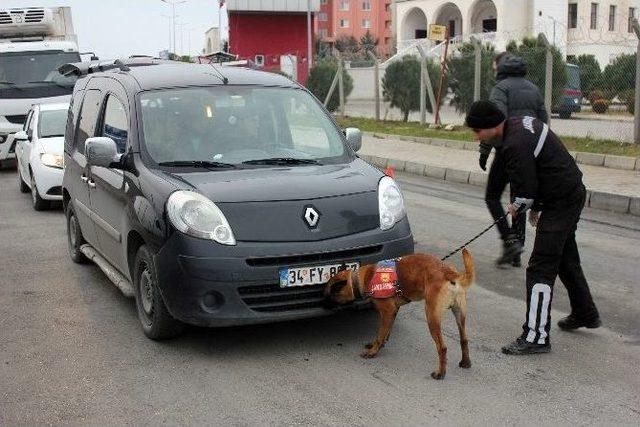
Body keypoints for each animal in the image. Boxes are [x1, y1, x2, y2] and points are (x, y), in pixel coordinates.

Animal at [328, 249, 472, 380]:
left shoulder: (388, 312)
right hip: (460, 315)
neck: (362, 278)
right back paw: (465, 362)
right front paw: (378, 344)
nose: (325, 303)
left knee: (442, 348)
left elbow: (380, 334)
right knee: (464, 339)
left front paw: (373, 351)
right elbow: (384, 332)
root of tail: (449, 272)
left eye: (328, 293)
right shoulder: (393, 311)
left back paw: (440, 373)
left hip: (432, 317)